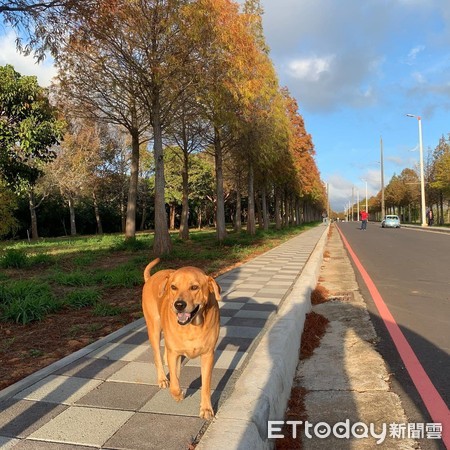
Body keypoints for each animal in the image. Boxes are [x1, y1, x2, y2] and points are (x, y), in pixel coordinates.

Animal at [142, 258, 221, 420]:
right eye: (173, 287)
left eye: (194, 287)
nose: (179, 304)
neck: (191, 326)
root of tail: (150, 278)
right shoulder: (175, 352)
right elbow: (174, 383)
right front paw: (178, 394)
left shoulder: (208, 354)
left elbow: (206, 384)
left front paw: (206, 409)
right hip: (154, 327)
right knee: (157, 356)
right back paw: (163, 379)